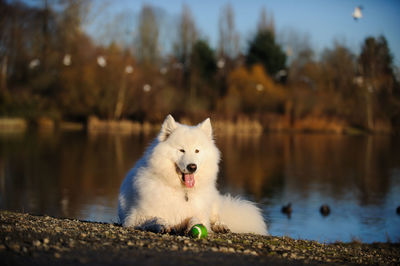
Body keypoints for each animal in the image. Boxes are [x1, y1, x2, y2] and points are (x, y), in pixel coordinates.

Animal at [119, 114, 268, 235]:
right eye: (181, 150)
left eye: (197, 150)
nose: (192, 167)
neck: (182, 191)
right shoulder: (135, 216)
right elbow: (155, 218)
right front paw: (163, 225)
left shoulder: (200, 213)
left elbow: (197, 219)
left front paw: (194, 226)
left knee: (216, 217)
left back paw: (221, 226)